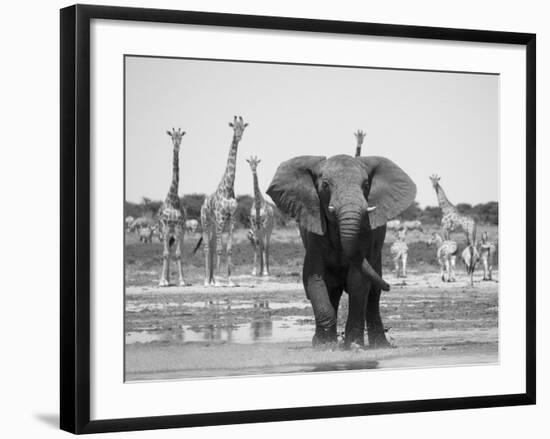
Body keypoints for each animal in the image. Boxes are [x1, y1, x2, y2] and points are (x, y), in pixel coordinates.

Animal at [199, 117, 249, 288]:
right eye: (234, 127)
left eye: (243, 128)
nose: (239, 137)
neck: (228, 188)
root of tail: (203, 204)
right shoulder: (221, 218)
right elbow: (220, 249)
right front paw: (219, 281)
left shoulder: (231, 218)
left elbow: (228, 249)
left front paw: (230, 281)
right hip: (206, 222)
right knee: (207, 248)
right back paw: (207, 281)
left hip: (214, 225)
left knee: (212, 246)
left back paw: (211, 279)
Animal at [268, 154, 418, 348]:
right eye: (325, 185)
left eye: (366, 185)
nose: (390, 286)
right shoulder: (314, 232)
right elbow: (314, 277)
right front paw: (324, 346)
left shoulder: (366, 233)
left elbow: (358, 281)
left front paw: (353, 346)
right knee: (333, 289)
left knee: (373, 294)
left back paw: (380, 345)